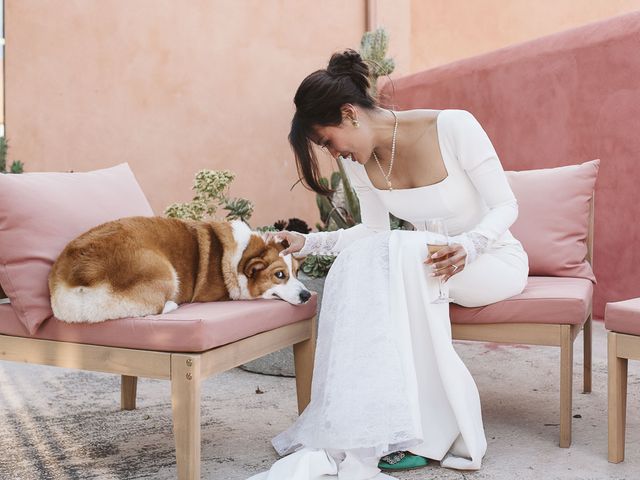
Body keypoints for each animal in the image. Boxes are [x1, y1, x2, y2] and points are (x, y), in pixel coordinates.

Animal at [48, 217, 312, 322]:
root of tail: (80, 271)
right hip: (166, 272)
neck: (243, 255)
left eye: (297, 272)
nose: (307, 295)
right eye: (279, 275)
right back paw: (171, 304)